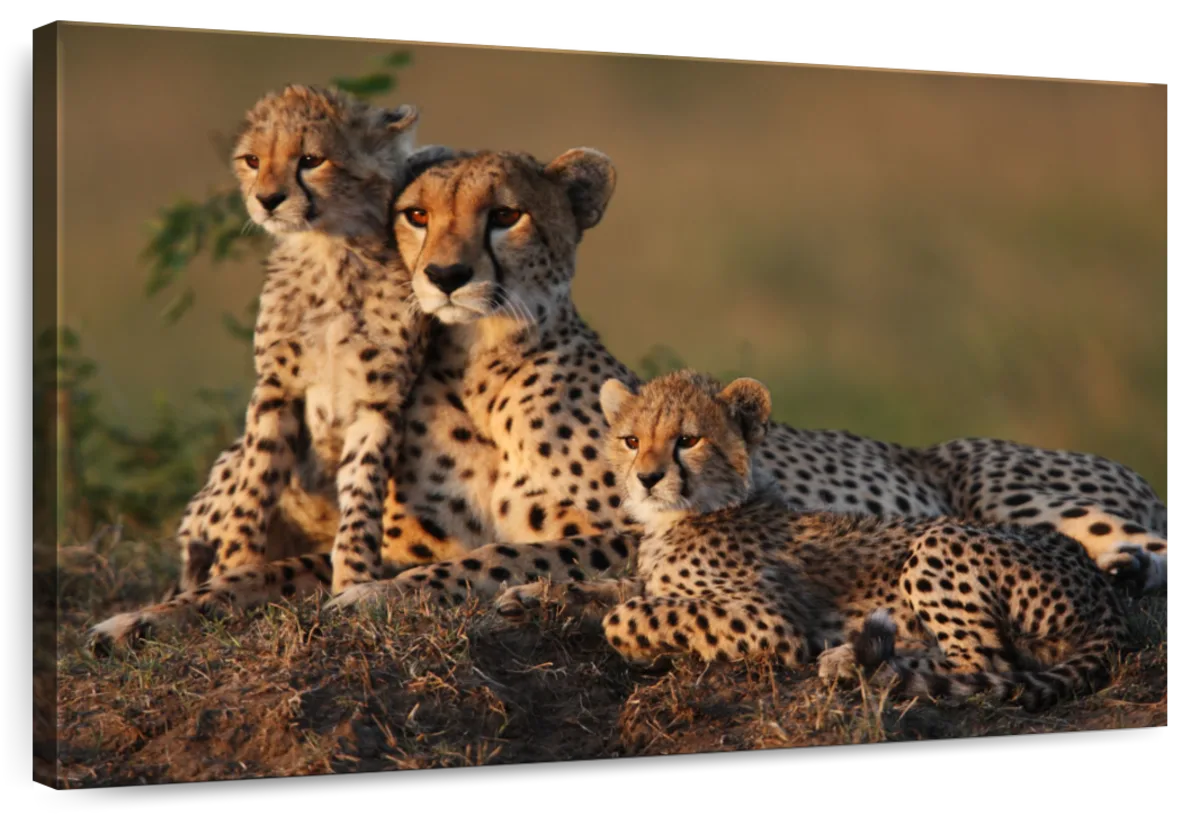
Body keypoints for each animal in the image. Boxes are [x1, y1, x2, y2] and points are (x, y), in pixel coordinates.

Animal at [87, 85, 442, 652]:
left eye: (311, 160)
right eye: (253, 161)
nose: (267, 199)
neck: (328, 250)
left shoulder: (380, 401)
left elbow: (362, 495)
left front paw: (354, 578)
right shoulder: (276, 389)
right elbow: (255, 487)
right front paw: (236, 564)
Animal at [87, 145, 1166, 652]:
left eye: (506, 215)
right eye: (416, 215)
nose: (445, 276)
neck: (481, 370)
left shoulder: (631, 526)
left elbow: (495, 558)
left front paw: (377, 601)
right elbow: (266, 575)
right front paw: (146, 620)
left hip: (1052, 508)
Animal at [497, 369, 1133, 713]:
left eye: (687, 440)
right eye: (630, 440)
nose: (648, 478)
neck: (685, 516)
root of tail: (1099, 586)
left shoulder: (770, 621)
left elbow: (629, 613)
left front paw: (630, 634)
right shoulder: (649, 576)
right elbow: (610, 587)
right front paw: (530, 596)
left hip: (939, 544)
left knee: (986, 662)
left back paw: (853, 662)